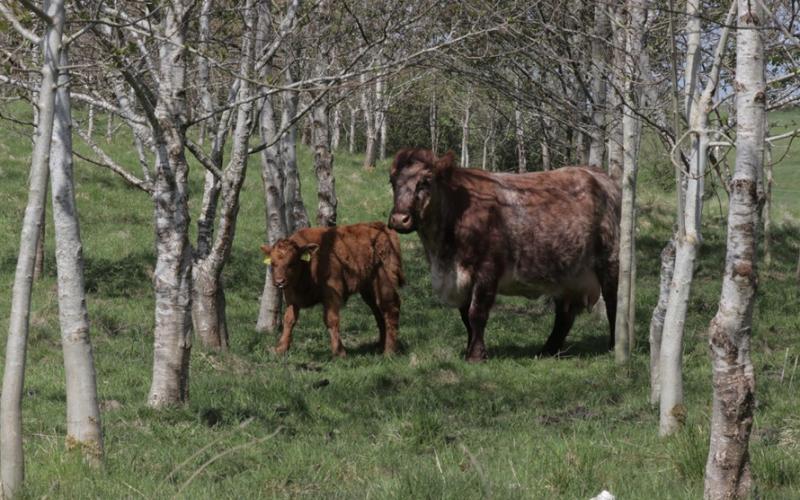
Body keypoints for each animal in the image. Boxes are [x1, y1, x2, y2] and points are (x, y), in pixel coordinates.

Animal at [260, 222, 404, 356]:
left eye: (292, 263)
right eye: (273, 263)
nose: (279, 282)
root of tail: (382, 226)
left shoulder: (332, 294)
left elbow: (331, 319)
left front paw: (339, 352)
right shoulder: (291, 298)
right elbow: (289, 320)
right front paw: (281, 348)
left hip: (384, 282)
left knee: (390, 308)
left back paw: (389, 351)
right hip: (368, 289)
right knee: (378, 311)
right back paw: (380, 346)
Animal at [388, 146, 620, 362]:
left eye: (425, 181)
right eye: (392, 181)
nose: (399, 219)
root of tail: (597, 175)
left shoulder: (487, 271)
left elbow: (477, 314)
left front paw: (476, 355)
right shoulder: (460, 279)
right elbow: (465, 318)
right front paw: (470, 350)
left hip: (610, 261)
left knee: (613, 303)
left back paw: (613, 346)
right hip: (567, 271)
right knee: (565, 314)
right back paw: (547, 350)